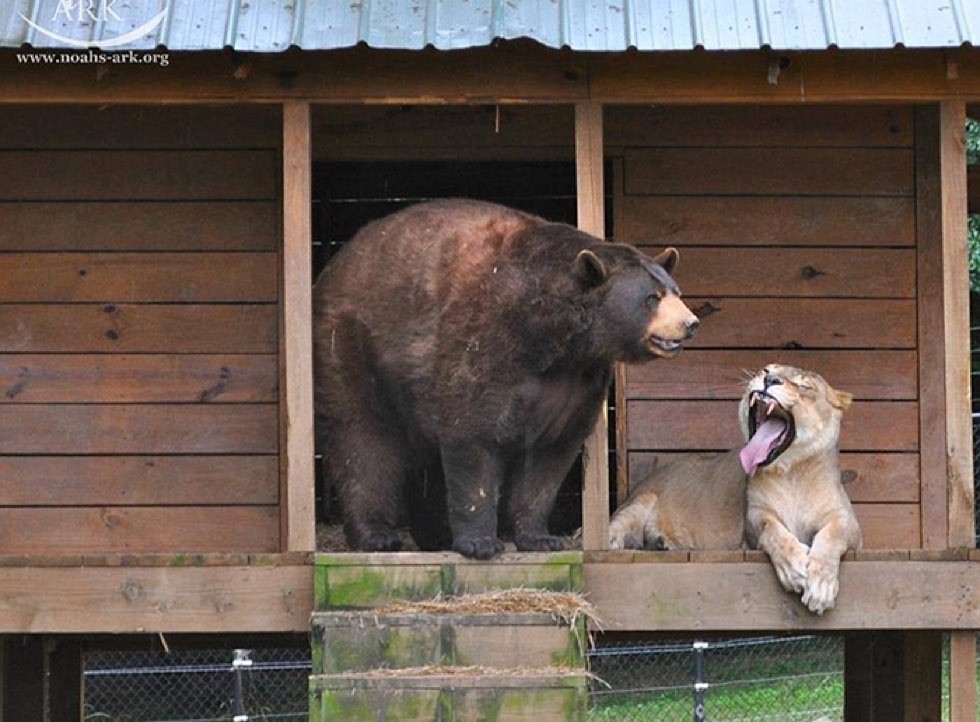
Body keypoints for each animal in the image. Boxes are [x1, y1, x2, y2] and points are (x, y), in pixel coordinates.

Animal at [314, 197, 696, 556]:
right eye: (651, 297)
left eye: (676, 291)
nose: (690, 323)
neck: (551, 336)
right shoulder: (484, 340)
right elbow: (473, 436)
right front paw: (480, 542)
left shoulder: (577, 380)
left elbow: (550, 454)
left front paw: (540, 537)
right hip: (352, 346)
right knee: (362, 437)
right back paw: (376, 534)